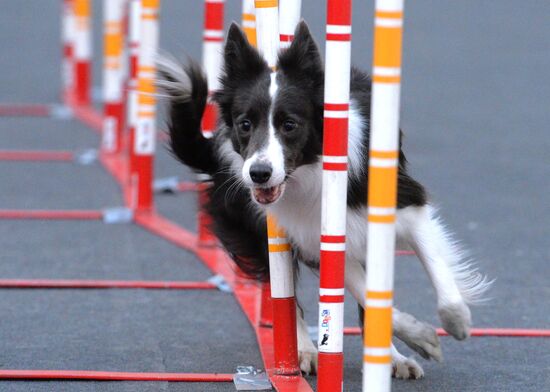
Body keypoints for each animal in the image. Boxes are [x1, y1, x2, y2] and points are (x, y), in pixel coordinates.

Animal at [158, 21, 492, 380]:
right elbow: (363, 294)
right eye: (245, 124)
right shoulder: (315, 238)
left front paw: (456, 324)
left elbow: (436, 280)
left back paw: (392, 357)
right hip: (257, 229)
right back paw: (304, 351)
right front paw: (423, 336)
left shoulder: (404, 205)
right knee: (286, 296)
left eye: (290, 124)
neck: (311, 171)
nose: (259, 173)